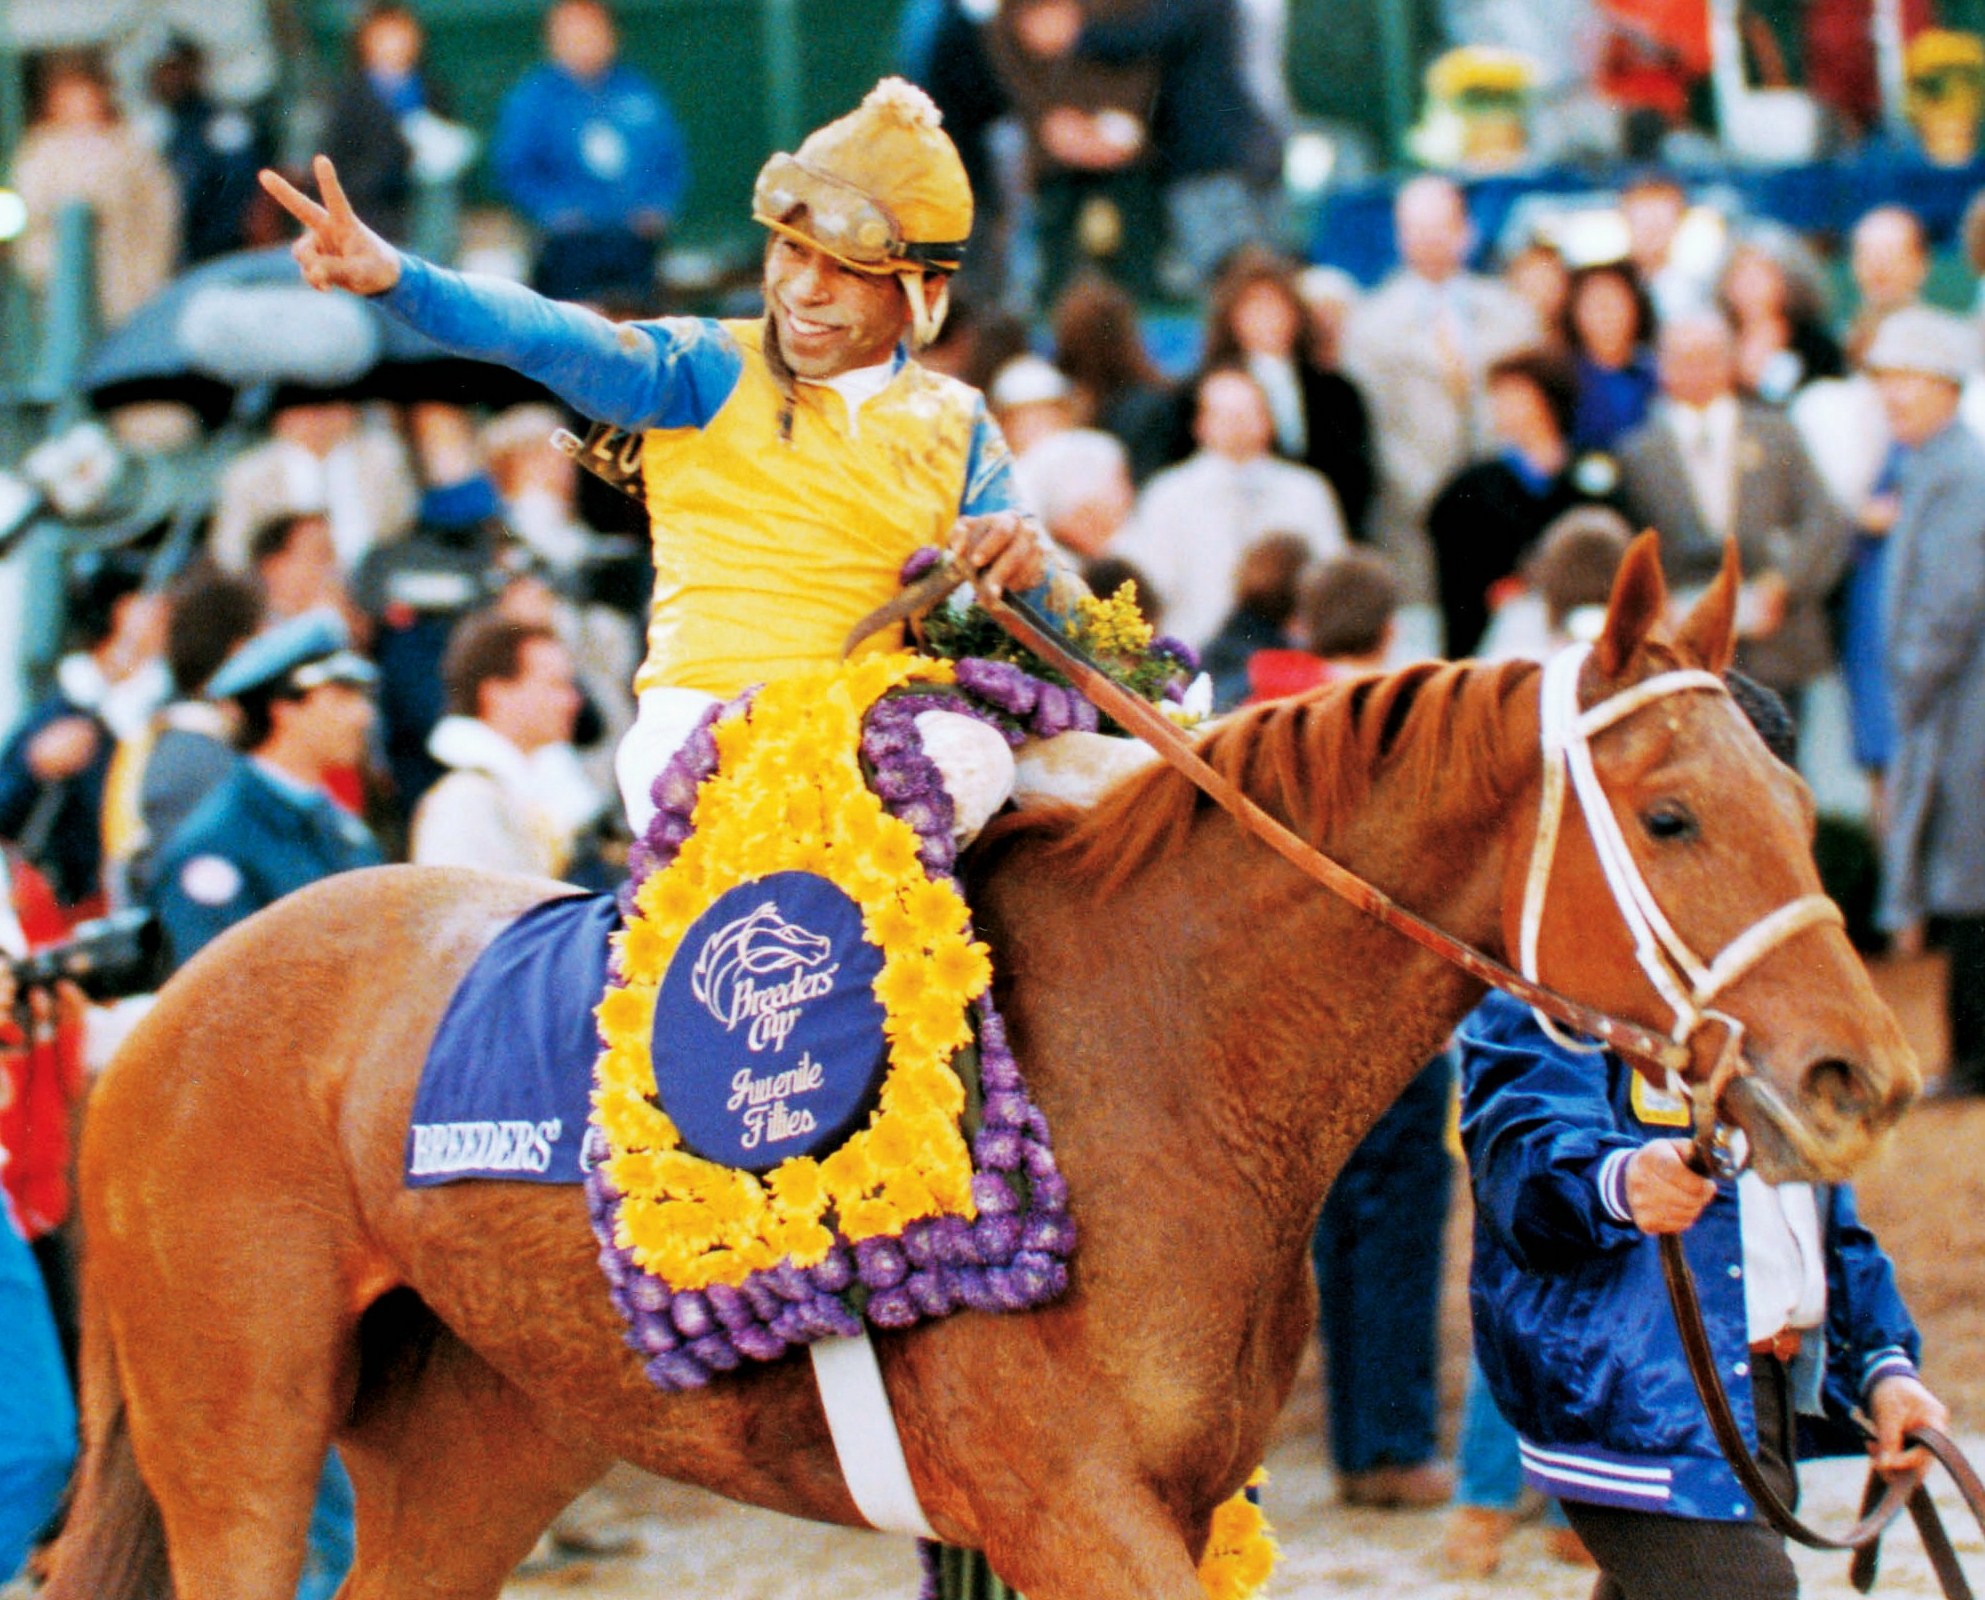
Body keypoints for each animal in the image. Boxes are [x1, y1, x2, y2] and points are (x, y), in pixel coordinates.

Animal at [42, 543, 1905, 1600]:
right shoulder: (1072, 1511)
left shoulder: (1158, 1501)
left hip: (483, 1438)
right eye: (1671, 816)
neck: (1167, 1051)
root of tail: (173, 1004)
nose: (1861, 1075)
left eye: (1793, 799)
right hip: (239, 1440)